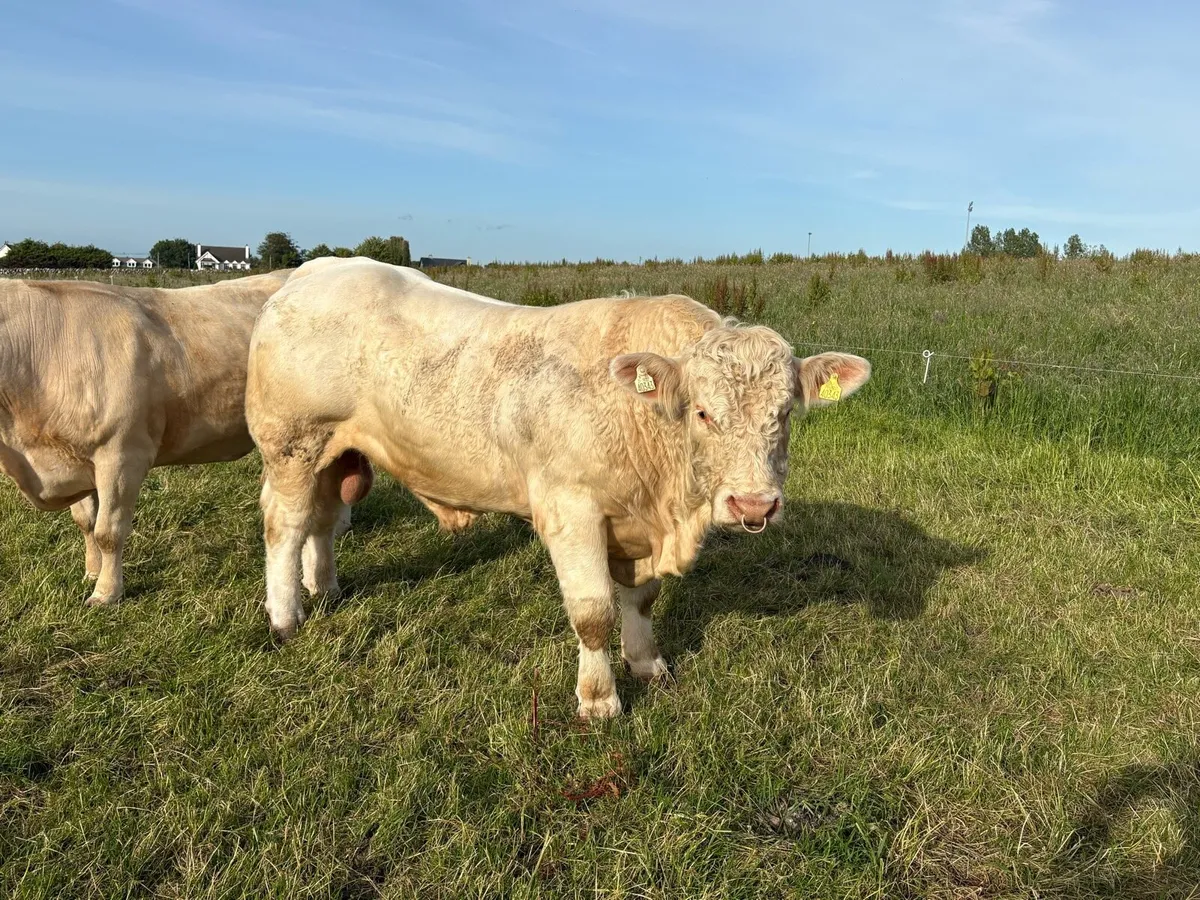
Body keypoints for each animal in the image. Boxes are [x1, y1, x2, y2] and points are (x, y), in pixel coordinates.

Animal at [0, 269, 302, 606]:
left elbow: (108, 531)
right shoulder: (72, 457)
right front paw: (91, 572)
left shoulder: (122, 455)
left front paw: (106, 593)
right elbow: (87, 523)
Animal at [246, 257, 870, 718]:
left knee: (323, 520)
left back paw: (324, 588)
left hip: (333, 453)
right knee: (285, 524)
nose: (754, 503)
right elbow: (594, 613)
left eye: (784, 412)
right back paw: (285, 617)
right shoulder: (571, 510)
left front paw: (647, 664)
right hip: (291, 444)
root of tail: (315, 268)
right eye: (702, 412)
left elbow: (641, 599)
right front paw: (599, 701)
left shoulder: (634, 523)